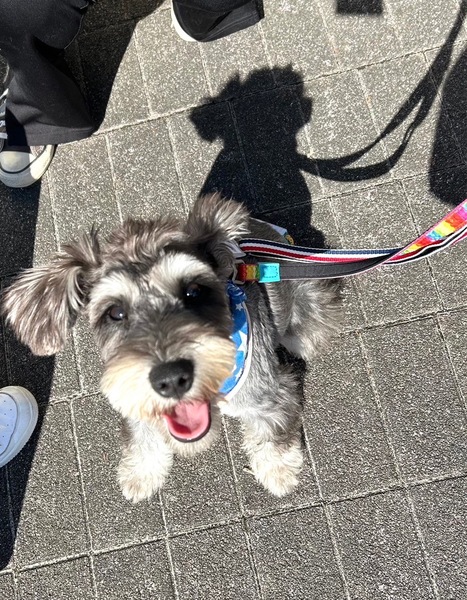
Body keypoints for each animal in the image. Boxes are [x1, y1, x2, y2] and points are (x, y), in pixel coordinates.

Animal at [2, 194, 342, 501]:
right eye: (115, 312)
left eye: (193, 291)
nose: (171, 379)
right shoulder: (134, 395)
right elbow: (142, 437)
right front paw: (140, 474)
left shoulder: (267, 395)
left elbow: (273, 431)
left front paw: (278, 471)